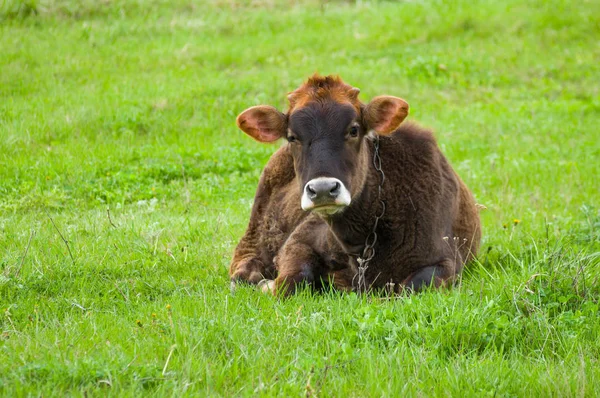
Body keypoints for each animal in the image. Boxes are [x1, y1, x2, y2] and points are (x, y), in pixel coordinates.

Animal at [227, 74, 480, 296]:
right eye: (292, 137)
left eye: (353, 129)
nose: (322, 189)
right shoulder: (298, 241)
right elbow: (293, 281)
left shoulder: (447, 262)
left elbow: (411, 287)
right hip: (253, 233)